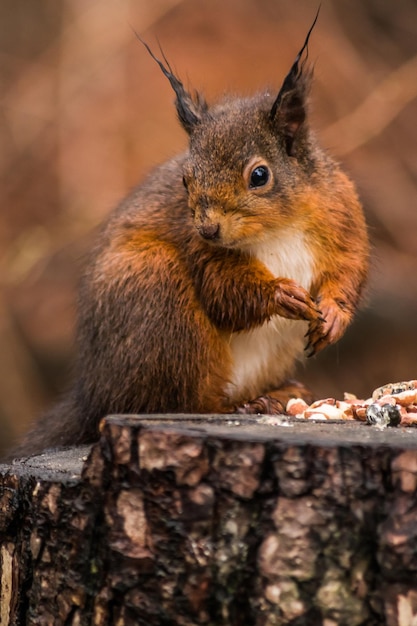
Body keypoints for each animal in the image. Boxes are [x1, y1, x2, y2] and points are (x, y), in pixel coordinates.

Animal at [10, 14, 368, 454]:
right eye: (185, 179)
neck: (277, 228)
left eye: (260, 175)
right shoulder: (199, 250)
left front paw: (334, 313)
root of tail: (94, 395)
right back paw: (239, 407)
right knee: (180, 401)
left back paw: (277, 395)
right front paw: (279, 293)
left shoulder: (343, 216)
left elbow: (349, 268)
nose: (208, 228)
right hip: (159, 300)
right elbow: (223, 290)